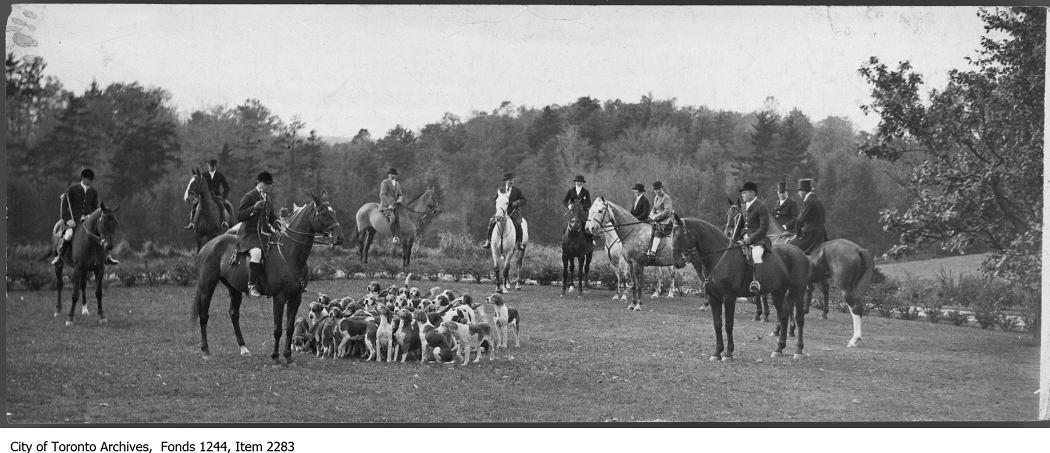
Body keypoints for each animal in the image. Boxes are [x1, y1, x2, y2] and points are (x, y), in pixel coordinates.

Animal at [191, 191, 342, 365]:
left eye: (334, 212)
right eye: (323, 213)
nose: (339, 238)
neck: (290, 254)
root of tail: (208, 245)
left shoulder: (295, 297)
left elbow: (290, 328)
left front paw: (288, 356)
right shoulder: (279, 297)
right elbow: (278, 329)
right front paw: (275, 356)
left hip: (234, 289)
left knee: (234, 315)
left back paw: (243, 348)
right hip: (207, 286)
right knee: (204, 315)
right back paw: (206, 350)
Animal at [672, 218, 810, 363]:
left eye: (680, 236)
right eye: (672, 235)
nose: (677, 262)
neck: (720, 257)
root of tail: (800, 253)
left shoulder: (729, 297)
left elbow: (728, 324)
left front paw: (728, 353)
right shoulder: (713, 297)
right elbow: (717, 324)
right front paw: (717, 352)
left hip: (798, 290)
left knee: (799, 318)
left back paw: (798, 350)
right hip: (778, 292)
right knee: (783, 314)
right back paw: (778, 349)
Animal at [726, 199, 873, 346]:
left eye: (737, 216)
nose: (729, 234)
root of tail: (858, 249)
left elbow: (772, 302)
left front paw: (771, 323)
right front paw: (789, 329)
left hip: (845, 287)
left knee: (854, 307)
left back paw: (854, 339)